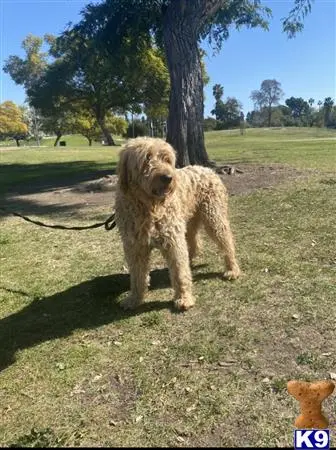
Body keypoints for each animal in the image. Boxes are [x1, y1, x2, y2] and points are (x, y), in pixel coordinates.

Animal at [114, 136, 240, 310]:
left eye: (167, 159)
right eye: (147, 158)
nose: (168, 178)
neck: (149, 208)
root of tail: (207, 169)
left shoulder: (172, 240)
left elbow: (179, 272)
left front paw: (184, 299)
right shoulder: (135, 246)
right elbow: (137, 276)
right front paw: (134, 299)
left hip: (214, 217)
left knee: (227, 242)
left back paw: (232, 269)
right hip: (190, 221)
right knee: (194, 242)